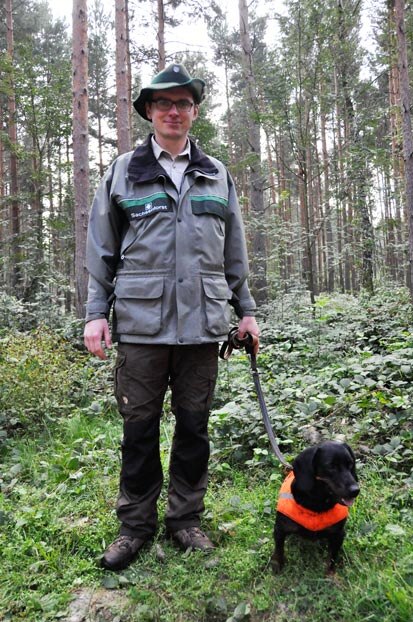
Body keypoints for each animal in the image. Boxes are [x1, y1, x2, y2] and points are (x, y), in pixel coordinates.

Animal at [270, 442, 358, 576]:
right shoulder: (280, 529)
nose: (355, 490)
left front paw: (330, 574)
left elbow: (332, 557)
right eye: (331, 466)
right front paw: (277, 565)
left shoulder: (338, 534)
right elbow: (279, 549)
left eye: (351, 464)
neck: (316, 504)